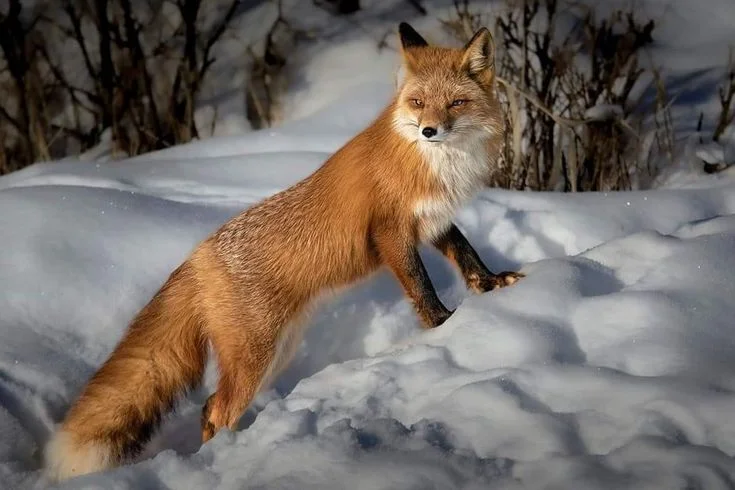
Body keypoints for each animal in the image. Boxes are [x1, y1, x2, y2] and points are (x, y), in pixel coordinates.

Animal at [44, 22, 523, 482]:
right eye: (419, 103)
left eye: (456, 103)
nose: (429, 130)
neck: (433, 162)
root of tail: (198, 256)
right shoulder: (391, 233)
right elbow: (422, 290)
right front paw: (444, 325)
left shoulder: (432, 223)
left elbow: (467, 255)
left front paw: (493, 284)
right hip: (255, 359)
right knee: (218, 410)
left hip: (276, 353)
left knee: (208, 408)